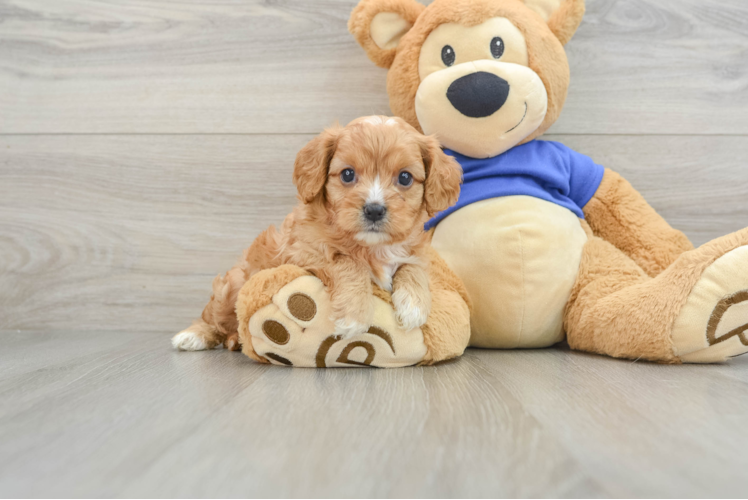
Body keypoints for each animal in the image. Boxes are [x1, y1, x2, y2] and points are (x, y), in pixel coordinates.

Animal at [172, 116, 462, 352]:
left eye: (404, 178)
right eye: (347, 174)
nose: (374, 210)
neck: (372, 246)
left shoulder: (415, 252)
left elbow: (412, 267)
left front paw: (414, 305)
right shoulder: (302, 254)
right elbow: (347, 261)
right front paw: (354, 315)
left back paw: (235, 340)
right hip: (231, 287)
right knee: (213, 316)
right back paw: (194, 336)